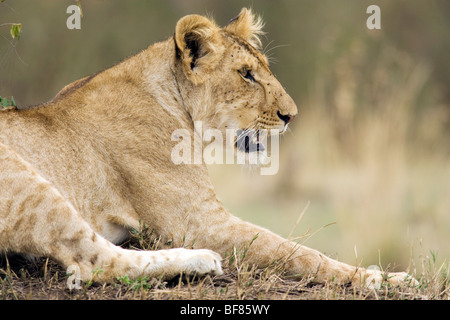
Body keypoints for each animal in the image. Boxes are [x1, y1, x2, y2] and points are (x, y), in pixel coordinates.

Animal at [0, 8, 414, 288]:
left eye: (261, 69)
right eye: (246, 74)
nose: (291, 116)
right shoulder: (197, 222)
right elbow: (295, 251)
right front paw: (383, 279)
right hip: (26, 180)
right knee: (94, 263)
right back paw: (200, 260)